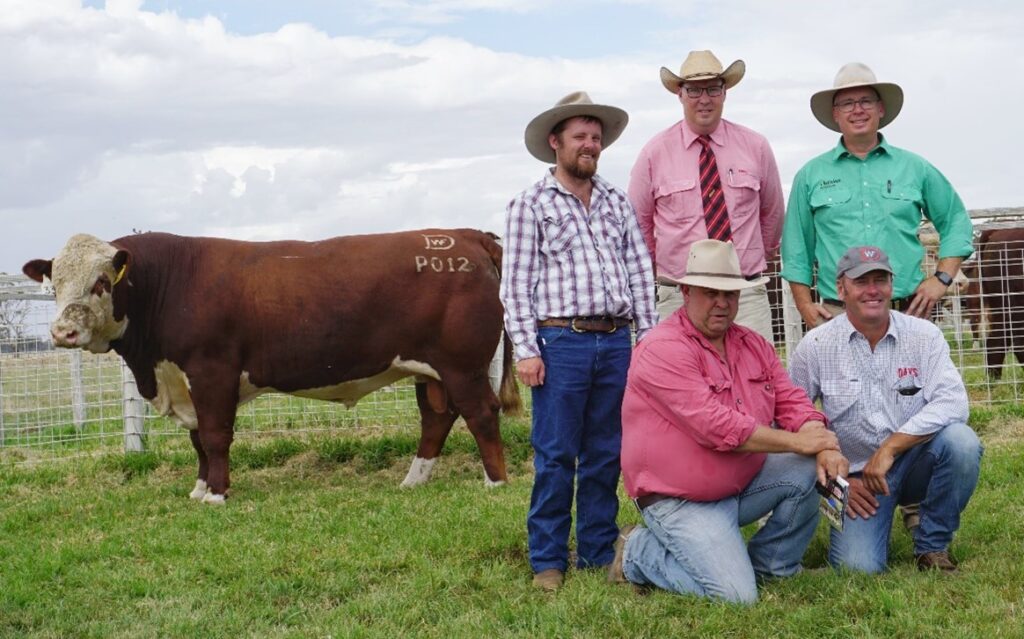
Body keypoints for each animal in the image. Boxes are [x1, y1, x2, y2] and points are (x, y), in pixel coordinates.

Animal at [24, 229, 520, 503]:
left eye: (101, 282)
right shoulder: (186, 380)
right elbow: (197, 440)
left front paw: (217, 494)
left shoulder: (212, 370)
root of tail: (467, 235)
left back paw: (496, 482)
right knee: (437, 418)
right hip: (428, 369)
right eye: (56, 285)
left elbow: (214, 436)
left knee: (480, 413)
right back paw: (413, 480)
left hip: (462, 364)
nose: (63, 332)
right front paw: (200, 487)